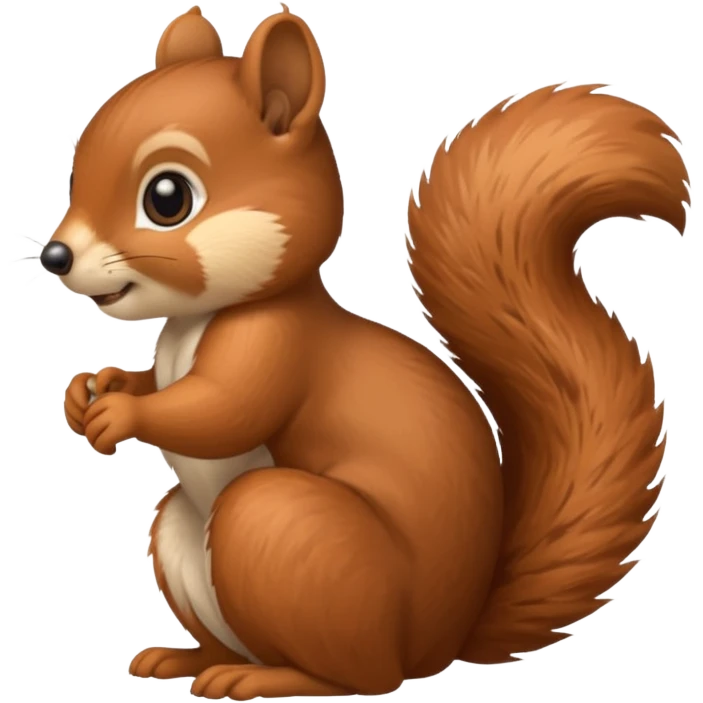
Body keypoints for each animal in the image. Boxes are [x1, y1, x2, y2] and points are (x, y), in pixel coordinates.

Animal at [43, 5, 691, 701]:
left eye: (168, 198)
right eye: (75, 172)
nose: (56, 256)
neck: (196, 321)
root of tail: (441, 643)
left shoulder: (278, 345)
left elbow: (223, 411)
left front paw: (121, 415)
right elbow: (156, 384)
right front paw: (93, 390)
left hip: (287, 532)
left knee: (364, 675)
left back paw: (270, 679)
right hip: (183, 538)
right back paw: (187, 658)